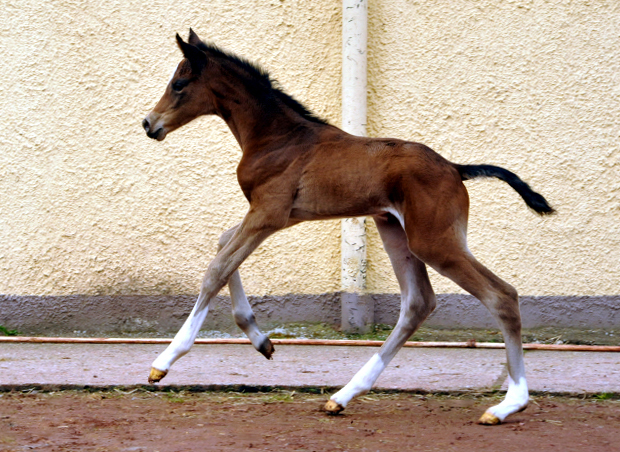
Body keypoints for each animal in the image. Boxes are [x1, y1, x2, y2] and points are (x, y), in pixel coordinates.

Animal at [143, 30, 556, 424]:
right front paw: (261, 341)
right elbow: (223, 245)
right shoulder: (279, 216)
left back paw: (508, 405)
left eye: (179, 83)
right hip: (395, 231)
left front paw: (164, 362)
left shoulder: (268, 214)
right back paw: (342, 397)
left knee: (501, 296)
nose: (149, 123)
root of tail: (456, 168)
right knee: (418, 302)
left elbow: (216, 269)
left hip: (434, 242)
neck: (277, 138)